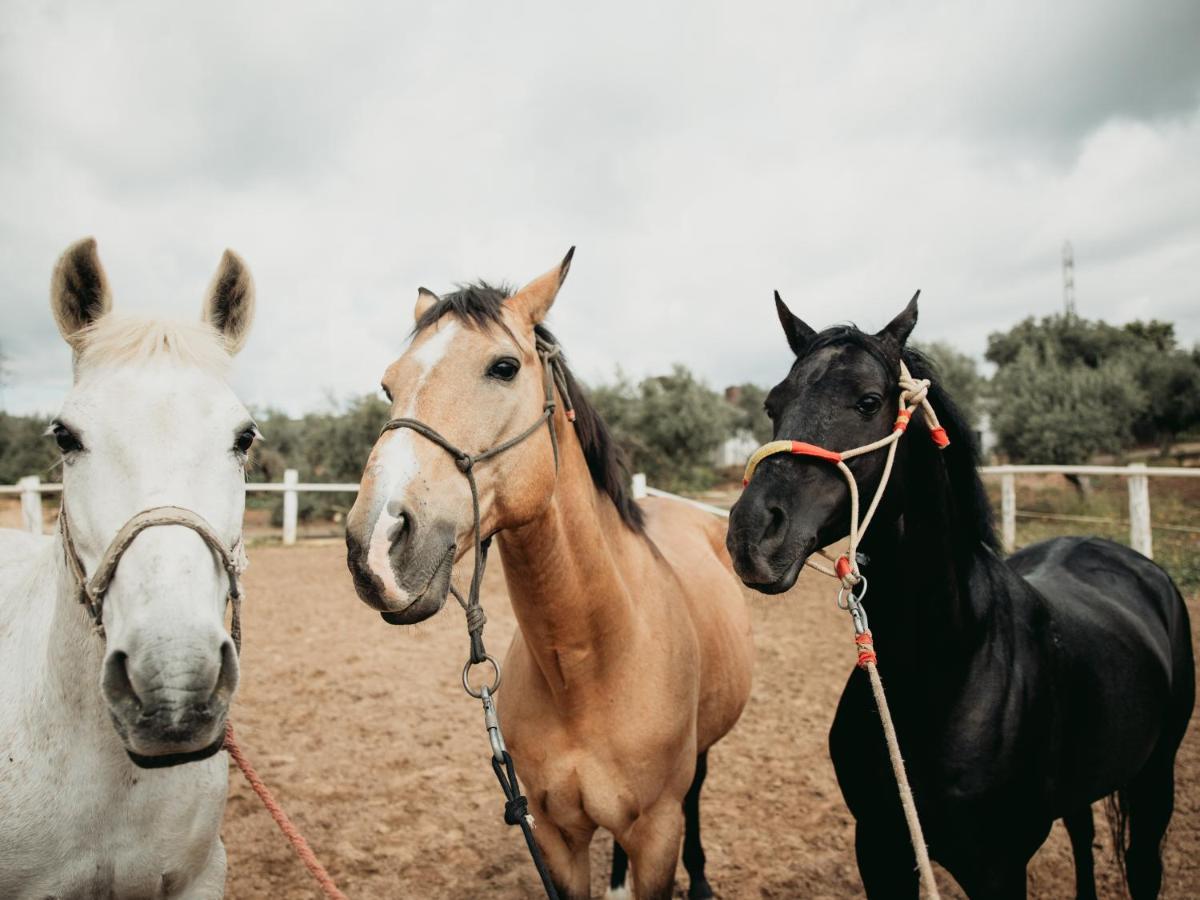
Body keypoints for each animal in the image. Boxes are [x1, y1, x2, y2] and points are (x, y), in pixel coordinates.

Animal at [345, 252, 748, 900]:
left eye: (504, 367)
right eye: (389, 385)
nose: (373, 545)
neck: (589, 668)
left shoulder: (658, 833)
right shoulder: (556, 835)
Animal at [724, 292, 1195, 897]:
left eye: (868, 401)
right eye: (772, 405)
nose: (752, 533)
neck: (945, 667)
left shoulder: (998, 867)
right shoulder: (879, 848)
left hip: (1156, 777)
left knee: (1141, 863)